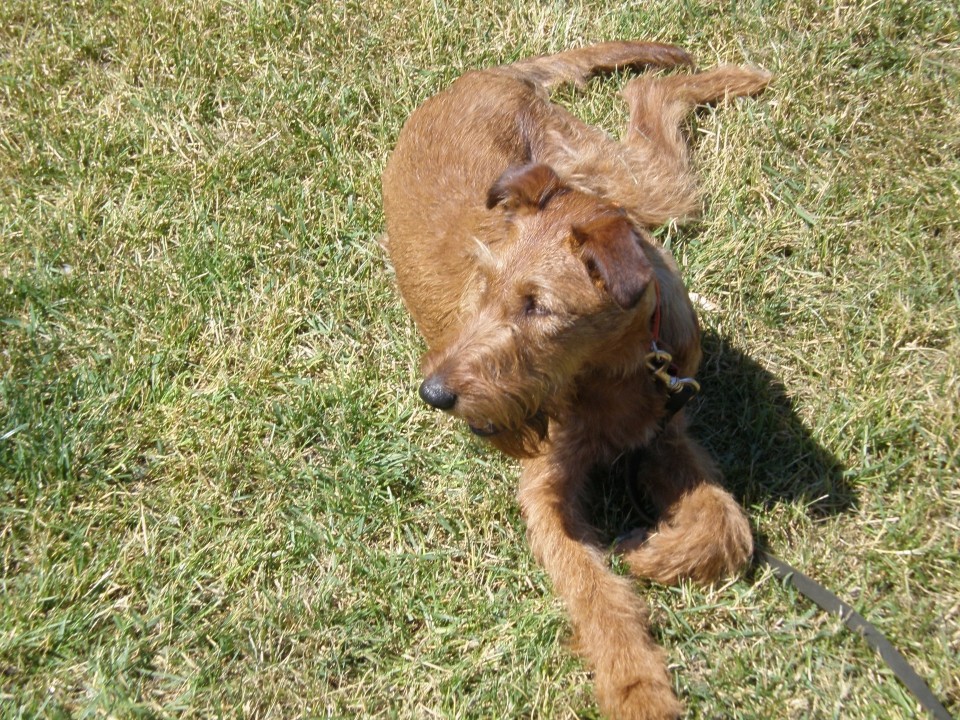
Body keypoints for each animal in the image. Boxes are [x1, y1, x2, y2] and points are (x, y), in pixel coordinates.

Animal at [382, 40, 772, 720]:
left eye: (539, 307)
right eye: (484, 283)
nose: (435, 394)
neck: (612, 372)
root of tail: (479, 77)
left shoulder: (665, 432)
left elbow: (728, 525)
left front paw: (652, 553)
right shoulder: (546, 492)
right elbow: (596, 594)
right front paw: (640, 690)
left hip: (630, 185)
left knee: (650, 100)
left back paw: (736, 76)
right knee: (646, 97)